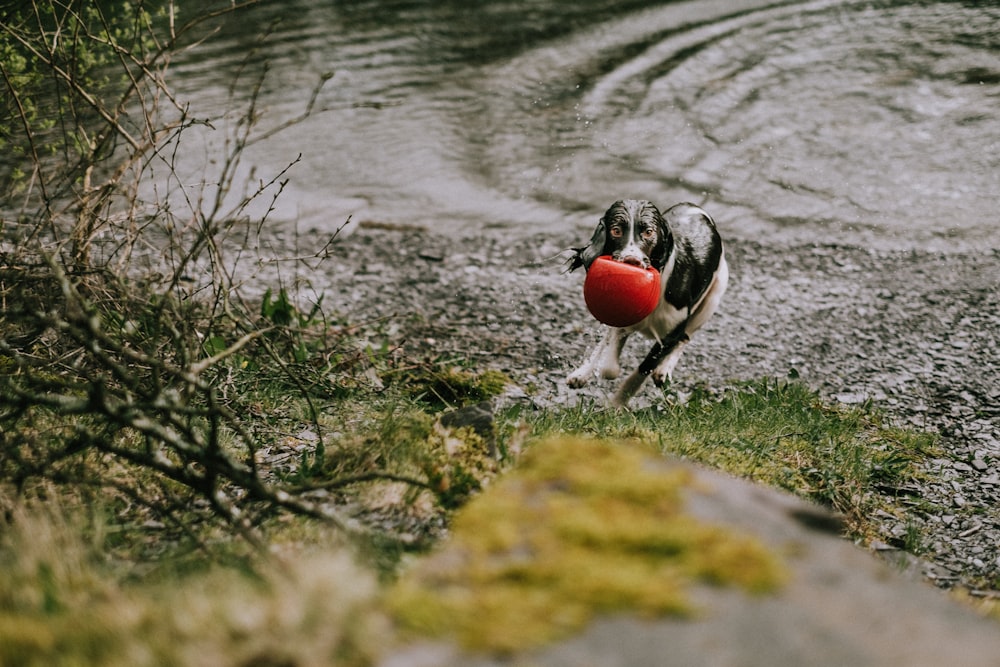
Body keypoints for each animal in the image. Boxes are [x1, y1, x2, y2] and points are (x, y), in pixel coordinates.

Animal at [572, 200, 728, 408]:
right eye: (616, 230)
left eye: (648, 232)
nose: (632, 261)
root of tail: (693, 206)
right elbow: (611, 358)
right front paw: (596, 372)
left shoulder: (670, 334)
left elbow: (643, 369)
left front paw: (617, 403)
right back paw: (581, 374)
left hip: (711, 300)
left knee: (686, 337)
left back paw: (663, 371)